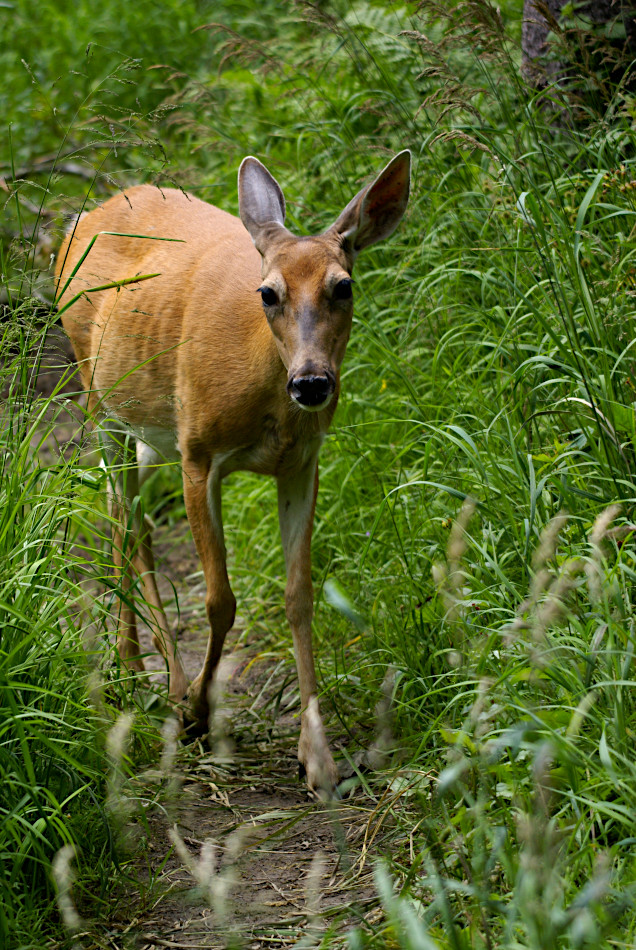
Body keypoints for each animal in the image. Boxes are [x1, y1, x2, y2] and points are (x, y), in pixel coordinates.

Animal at [56, 149, 412, 792]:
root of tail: (85, 214)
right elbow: (221, 599)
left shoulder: (302, 464)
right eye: (267, 293)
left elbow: (300, 595)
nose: (312, 383)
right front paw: (199, 711)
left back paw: (160, 676)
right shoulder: (199, 453)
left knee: (138, 520)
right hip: (101, 402)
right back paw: (138, 675)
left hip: (148, 431)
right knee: (120, 521)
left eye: (344, 286)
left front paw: (318, 756)